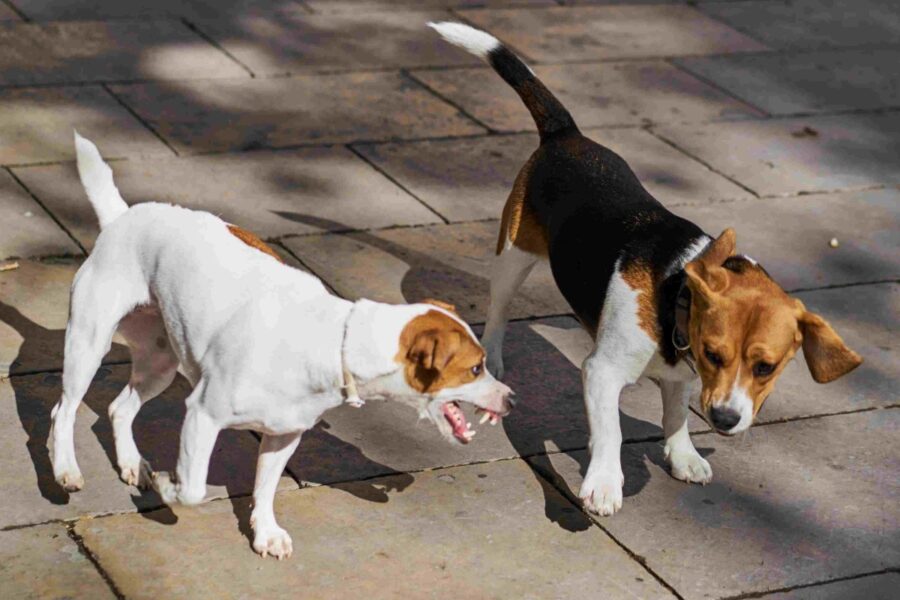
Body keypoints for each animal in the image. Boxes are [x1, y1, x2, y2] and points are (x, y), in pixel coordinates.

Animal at [51, 131, 512, 556]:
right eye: (476, 367)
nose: (511, 399)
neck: (333, 341)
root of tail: (122, 216)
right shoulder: (202, 415)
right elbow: (195, 489)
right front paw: (170, 488)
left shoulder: (283, 434)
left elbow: (265, 488)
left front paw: (266, 533)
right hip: (88, 343)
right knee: (65, 409)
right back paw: (65, 470)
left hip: (160, 362)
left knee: (119, 407)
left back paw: (130, 463)